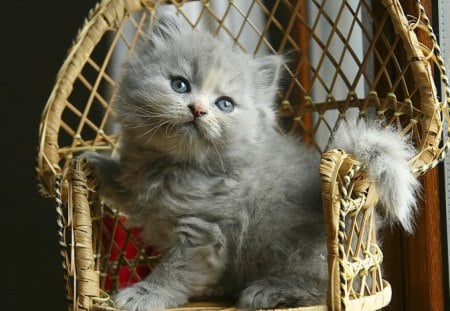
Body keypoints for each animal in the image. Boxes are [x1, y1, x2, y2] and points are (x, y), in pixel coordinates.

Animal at [83, 11, 418, 310]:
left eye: (224, 104)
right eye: (180, 85)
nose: (198, 110)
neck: (174, 165)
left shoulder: (202, 234)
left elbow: (173, 271)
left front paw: (145, 294)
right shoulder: (142, 185)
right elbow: (126, 185)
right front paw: (93, 164)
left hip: (306, 254)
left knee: (325, 288)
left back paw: (267, 291)